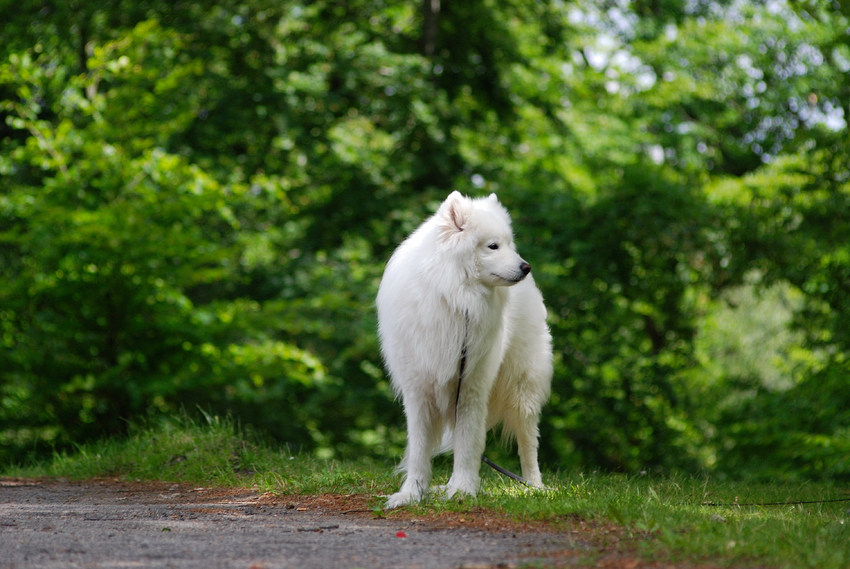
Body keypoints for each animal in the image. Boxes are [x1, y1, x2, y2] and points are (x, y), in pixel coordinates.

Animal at [376, 192, 548, 510]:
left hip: (523, 389)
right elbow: (419, 449)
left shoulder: (471, 387)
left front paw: (463, 490)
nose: (526, 266)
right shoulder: (418, 390)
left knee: (528, 443)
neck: (456, 299)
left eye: (509, 243)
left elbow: (468, 445)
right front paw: (412, 494)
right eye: (493, 246)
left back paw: (535, 487)